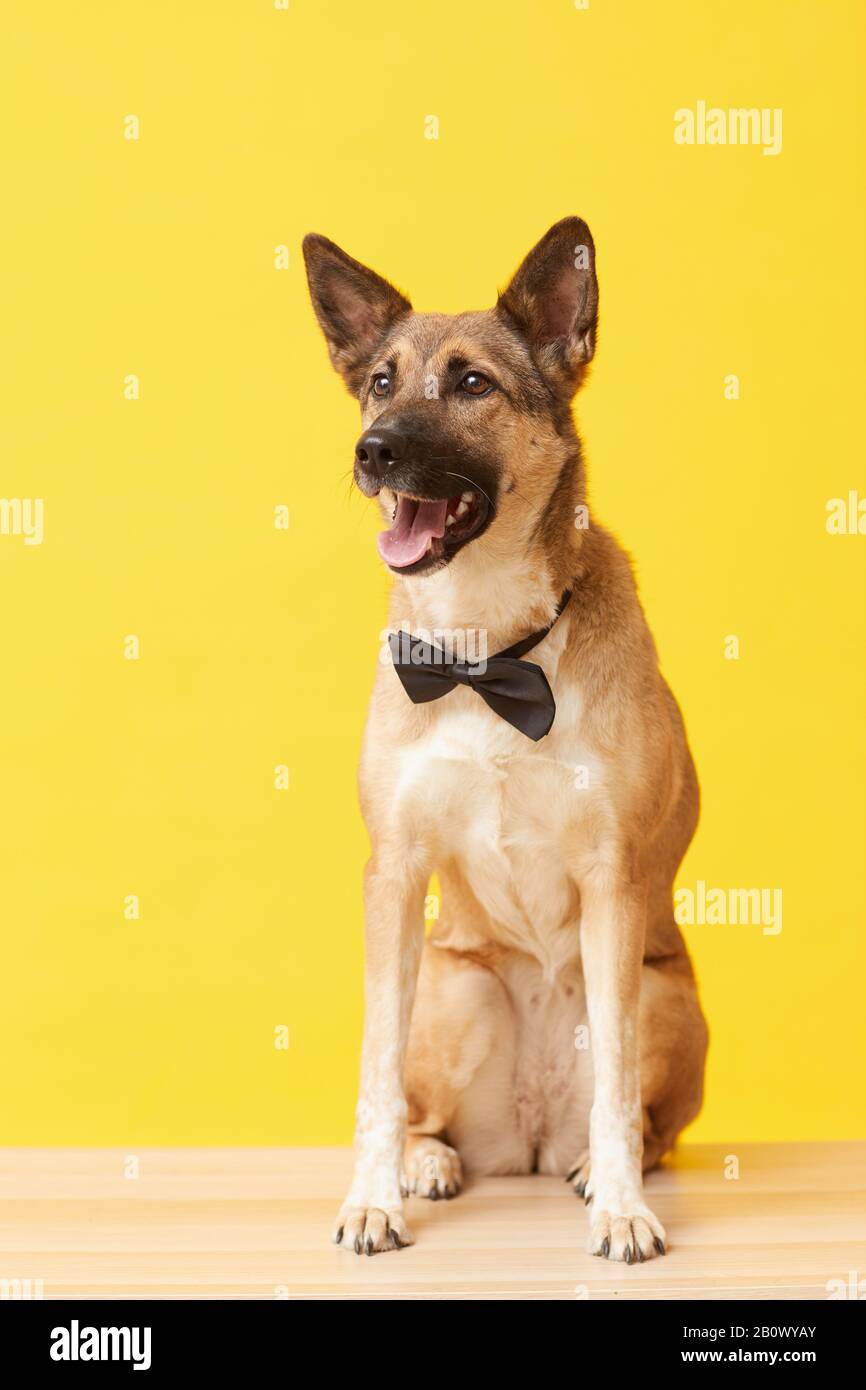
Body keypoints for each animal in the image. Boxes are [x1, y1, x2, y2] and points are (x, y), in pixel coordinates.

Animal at [301, 214, 708, 1262]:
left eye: (475, 384)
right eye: (381, 381)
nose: (372, 452)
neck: (485, 653)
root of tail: (525, 1134)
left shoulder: (613, 882)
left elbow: (617, 1086)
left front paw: (622, 1209)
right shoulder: (395, 874)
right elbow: (376, 1070)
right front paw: (372, 1199)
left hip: (668, 997)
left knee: (640, 1115)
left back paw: (597, 1167)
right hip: (458, 984)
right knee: (426, 1109)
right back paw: (429, 1163)